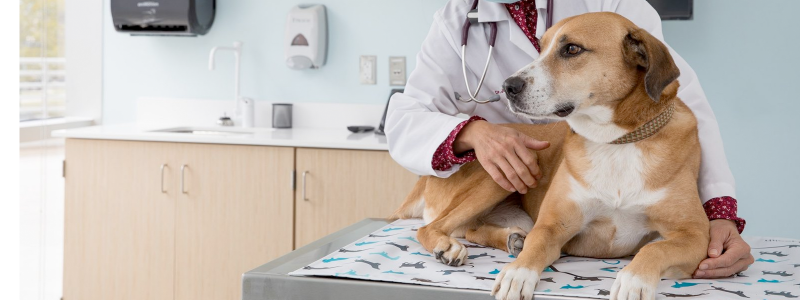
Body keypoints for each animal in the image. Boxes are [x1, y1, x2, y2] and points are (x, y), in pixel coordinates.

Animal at [390, 12, 708, 300]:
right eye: (541, 48)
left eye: (572, 49)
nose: (508, 86)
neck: (617, 141)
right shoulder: (553, 225)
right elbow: (538, 246)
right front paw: (518, 274)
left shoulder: (695, 236)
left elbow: (655, 247)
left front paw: (634, 280)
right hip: (504, 168)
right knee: (431, 227)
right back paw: (451, 246)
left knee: (472, 230)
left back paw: (511, 238)